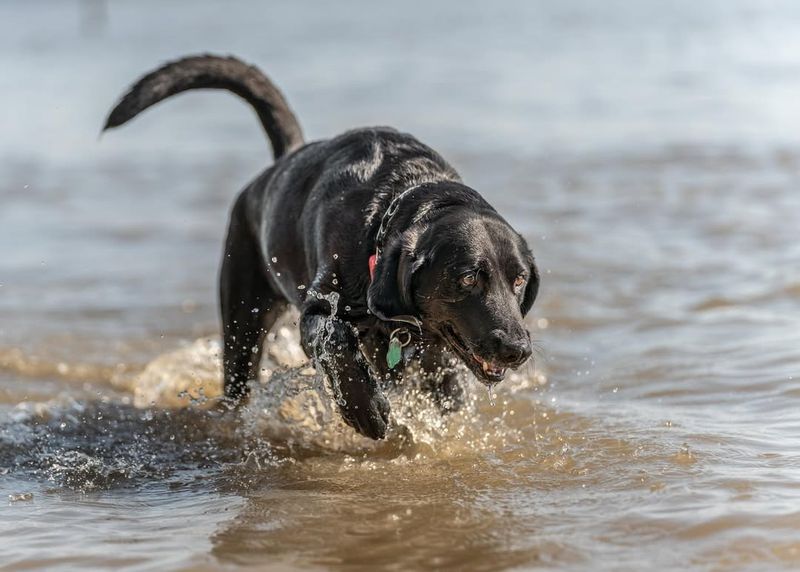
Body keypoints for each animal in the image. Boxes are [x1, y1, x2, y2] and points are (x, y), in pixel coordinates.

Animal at [103, 54, 540, 438]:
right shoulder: (317, 314)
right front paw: (367, 414)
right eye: (467, 279)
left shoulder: (435, 354)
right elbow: (337, 343)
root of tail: (283, 161)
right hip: (243, 318)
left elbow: (445, 389)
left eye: (519, 280)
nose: (516, 348)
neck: (393, 203)